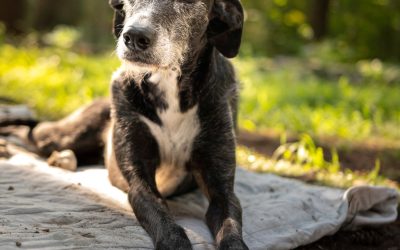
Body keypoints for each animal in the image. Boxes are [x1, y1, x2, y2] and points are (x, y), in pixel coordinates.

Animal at [28, 0, 247, 249]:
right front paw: (175, 242)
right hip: (63, 135)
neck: (168, 85)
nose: (134, 37)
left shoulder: (223, 191)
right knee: (31, 132)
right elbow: (161, 215)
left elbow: (230, 226)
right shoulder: (140, 181)